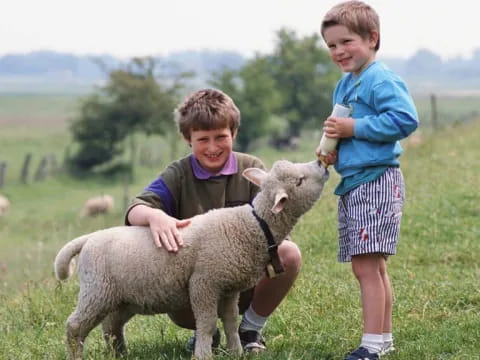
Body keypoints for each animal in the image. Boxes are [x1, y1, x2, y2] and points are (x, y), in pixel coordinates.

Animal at [53, 160, 330, 360]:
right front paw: (204, 355)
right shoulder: (204, 283)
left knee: (111, 326)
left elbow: (230, 322)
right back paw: (77, 356)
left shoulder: (228, 288)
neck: (252, 225)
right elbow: (206, 324)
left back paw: (120, 354)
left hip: (122, 298)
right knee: (75, 326)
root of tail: (88, 238)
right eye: (300, 181)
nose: (321, 164)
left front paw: (236, 351)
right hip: (96, 291)